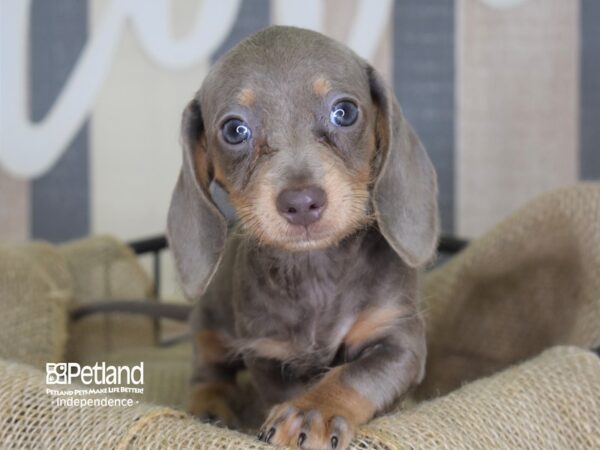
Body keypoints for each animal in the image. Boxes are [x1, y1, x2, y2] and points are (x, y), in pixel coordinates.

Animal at [166, 25, 438, 450]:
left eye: (345, 112)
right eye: (234, 130)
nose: (301, 202)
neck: (316, 273)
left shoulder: (399, 340)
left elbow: (353, 375)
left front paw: (314, 411)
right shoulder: (267, 355)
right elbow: (280, 390)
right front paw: (300, 408)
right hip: (208, 321)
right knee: (208, 370)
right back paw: (209, 405)